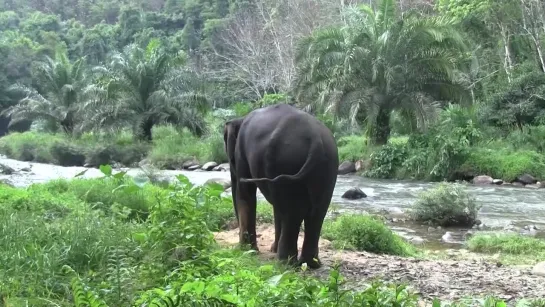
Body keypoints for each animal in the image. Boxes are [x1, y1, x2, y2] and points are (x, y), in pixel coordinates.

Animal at [223, 103, 338, 270]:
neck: (241, 118)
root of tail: (316, 141)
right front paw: (268, 249)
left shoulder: (241, 153)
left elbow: (245, 193)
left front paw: (246, 251)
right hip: (327, 168)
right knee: (316, 212)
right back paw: (311, 263)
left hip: (286, 161)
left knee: (293, 212)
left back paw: (285, 263)